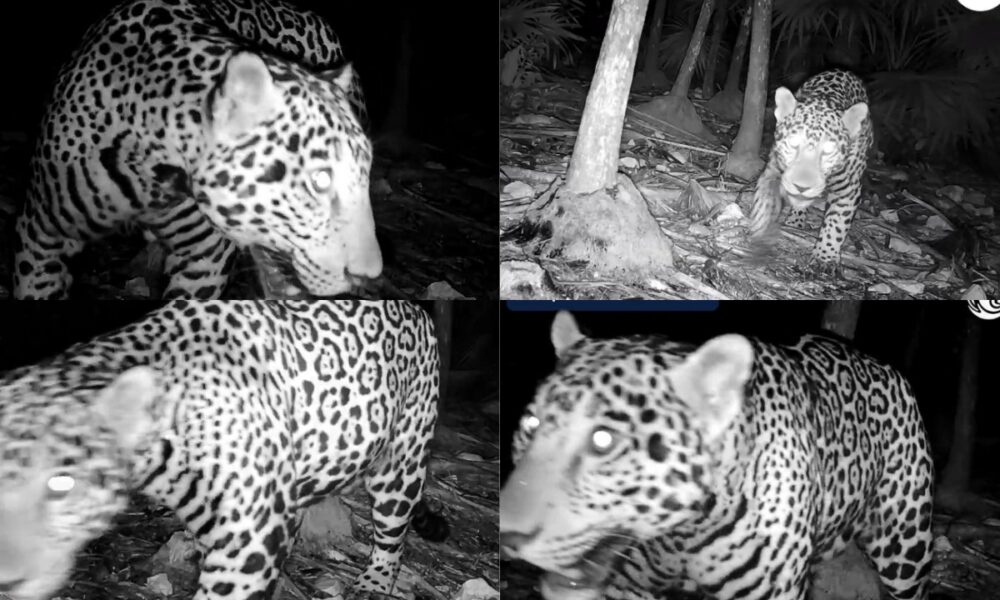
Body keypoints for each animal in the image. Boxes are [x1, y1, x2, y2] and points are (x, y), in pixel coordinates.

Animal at [0, 300, 447, 600]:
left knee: (393, 534)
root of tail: (417, 309)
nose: (9, 580)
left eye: (61, 485)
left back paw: (374, 583)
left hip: (401, 463)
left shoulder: (247, 539)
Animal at [500, 311, 933, 600]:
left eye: (603, 441)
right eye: (531, 425)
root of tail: (886, 367)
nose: (508, 534)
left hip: (906, 544)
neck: (682, 536)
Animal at [747, 70, 873, 274]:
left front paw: (825, 258)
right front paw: (760, 228)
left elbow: (836, 224)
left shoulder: (848, 190)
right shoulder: (773, 170)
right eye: (793, 144)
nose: (801, 187)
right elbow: (765, 201)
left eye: (828, 151)